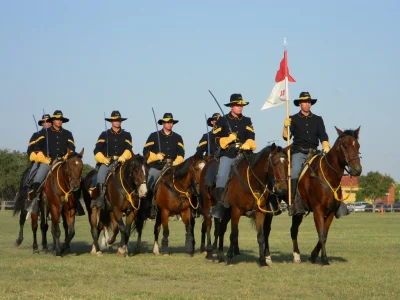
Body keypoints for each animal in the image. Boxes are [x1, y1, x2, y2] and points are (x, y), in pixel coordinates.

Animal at [290, 126, 360, 264]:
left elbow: (325, 234)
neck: (328, 176)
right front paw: (324, 259)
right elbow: (321, 234)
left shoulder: (331, 211)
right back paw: (295, 256)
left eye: (358, 145)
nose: (357, 169)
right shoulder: (318, 210)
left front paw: (313, 255)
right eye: (345, 145)